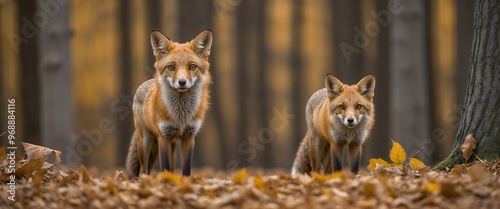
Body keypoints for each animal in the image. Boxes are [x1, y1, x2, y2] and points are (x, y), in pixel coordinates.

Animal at [126, 28, 212, 177]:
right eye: (171, 67)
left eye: (192, 66)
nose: (182, 82)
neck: (181, 115)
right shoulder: (164, 136)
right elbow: (164, 167)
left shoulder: (189, 137)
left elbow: (185, 170)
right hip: (145, 141)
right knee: (143, 170)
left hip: (173, 146)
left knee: (171, 168)